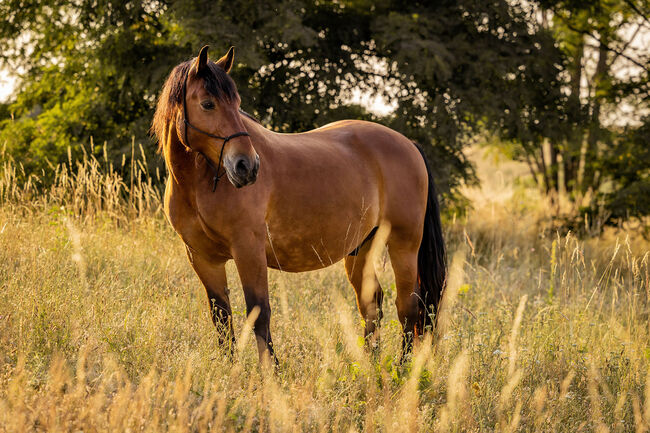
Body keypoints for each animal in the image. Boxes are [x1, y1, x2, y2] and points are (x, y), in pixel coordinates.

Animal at [152, 45, 446, 362]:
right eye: (208, 104)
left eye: (236, 103)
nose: (247, 167)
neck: (200, 185)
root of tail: (409, 145)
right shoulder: (203, 259)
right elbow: (221, 316)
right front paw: (229, 367)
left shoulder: (249, 250)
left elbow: (259, 312)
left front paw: (271, 369)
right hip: (360, 250)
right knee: (372, 305)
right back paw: (369, 363)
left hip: (404, 246)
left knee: (408, 308)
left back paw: (403, 367)